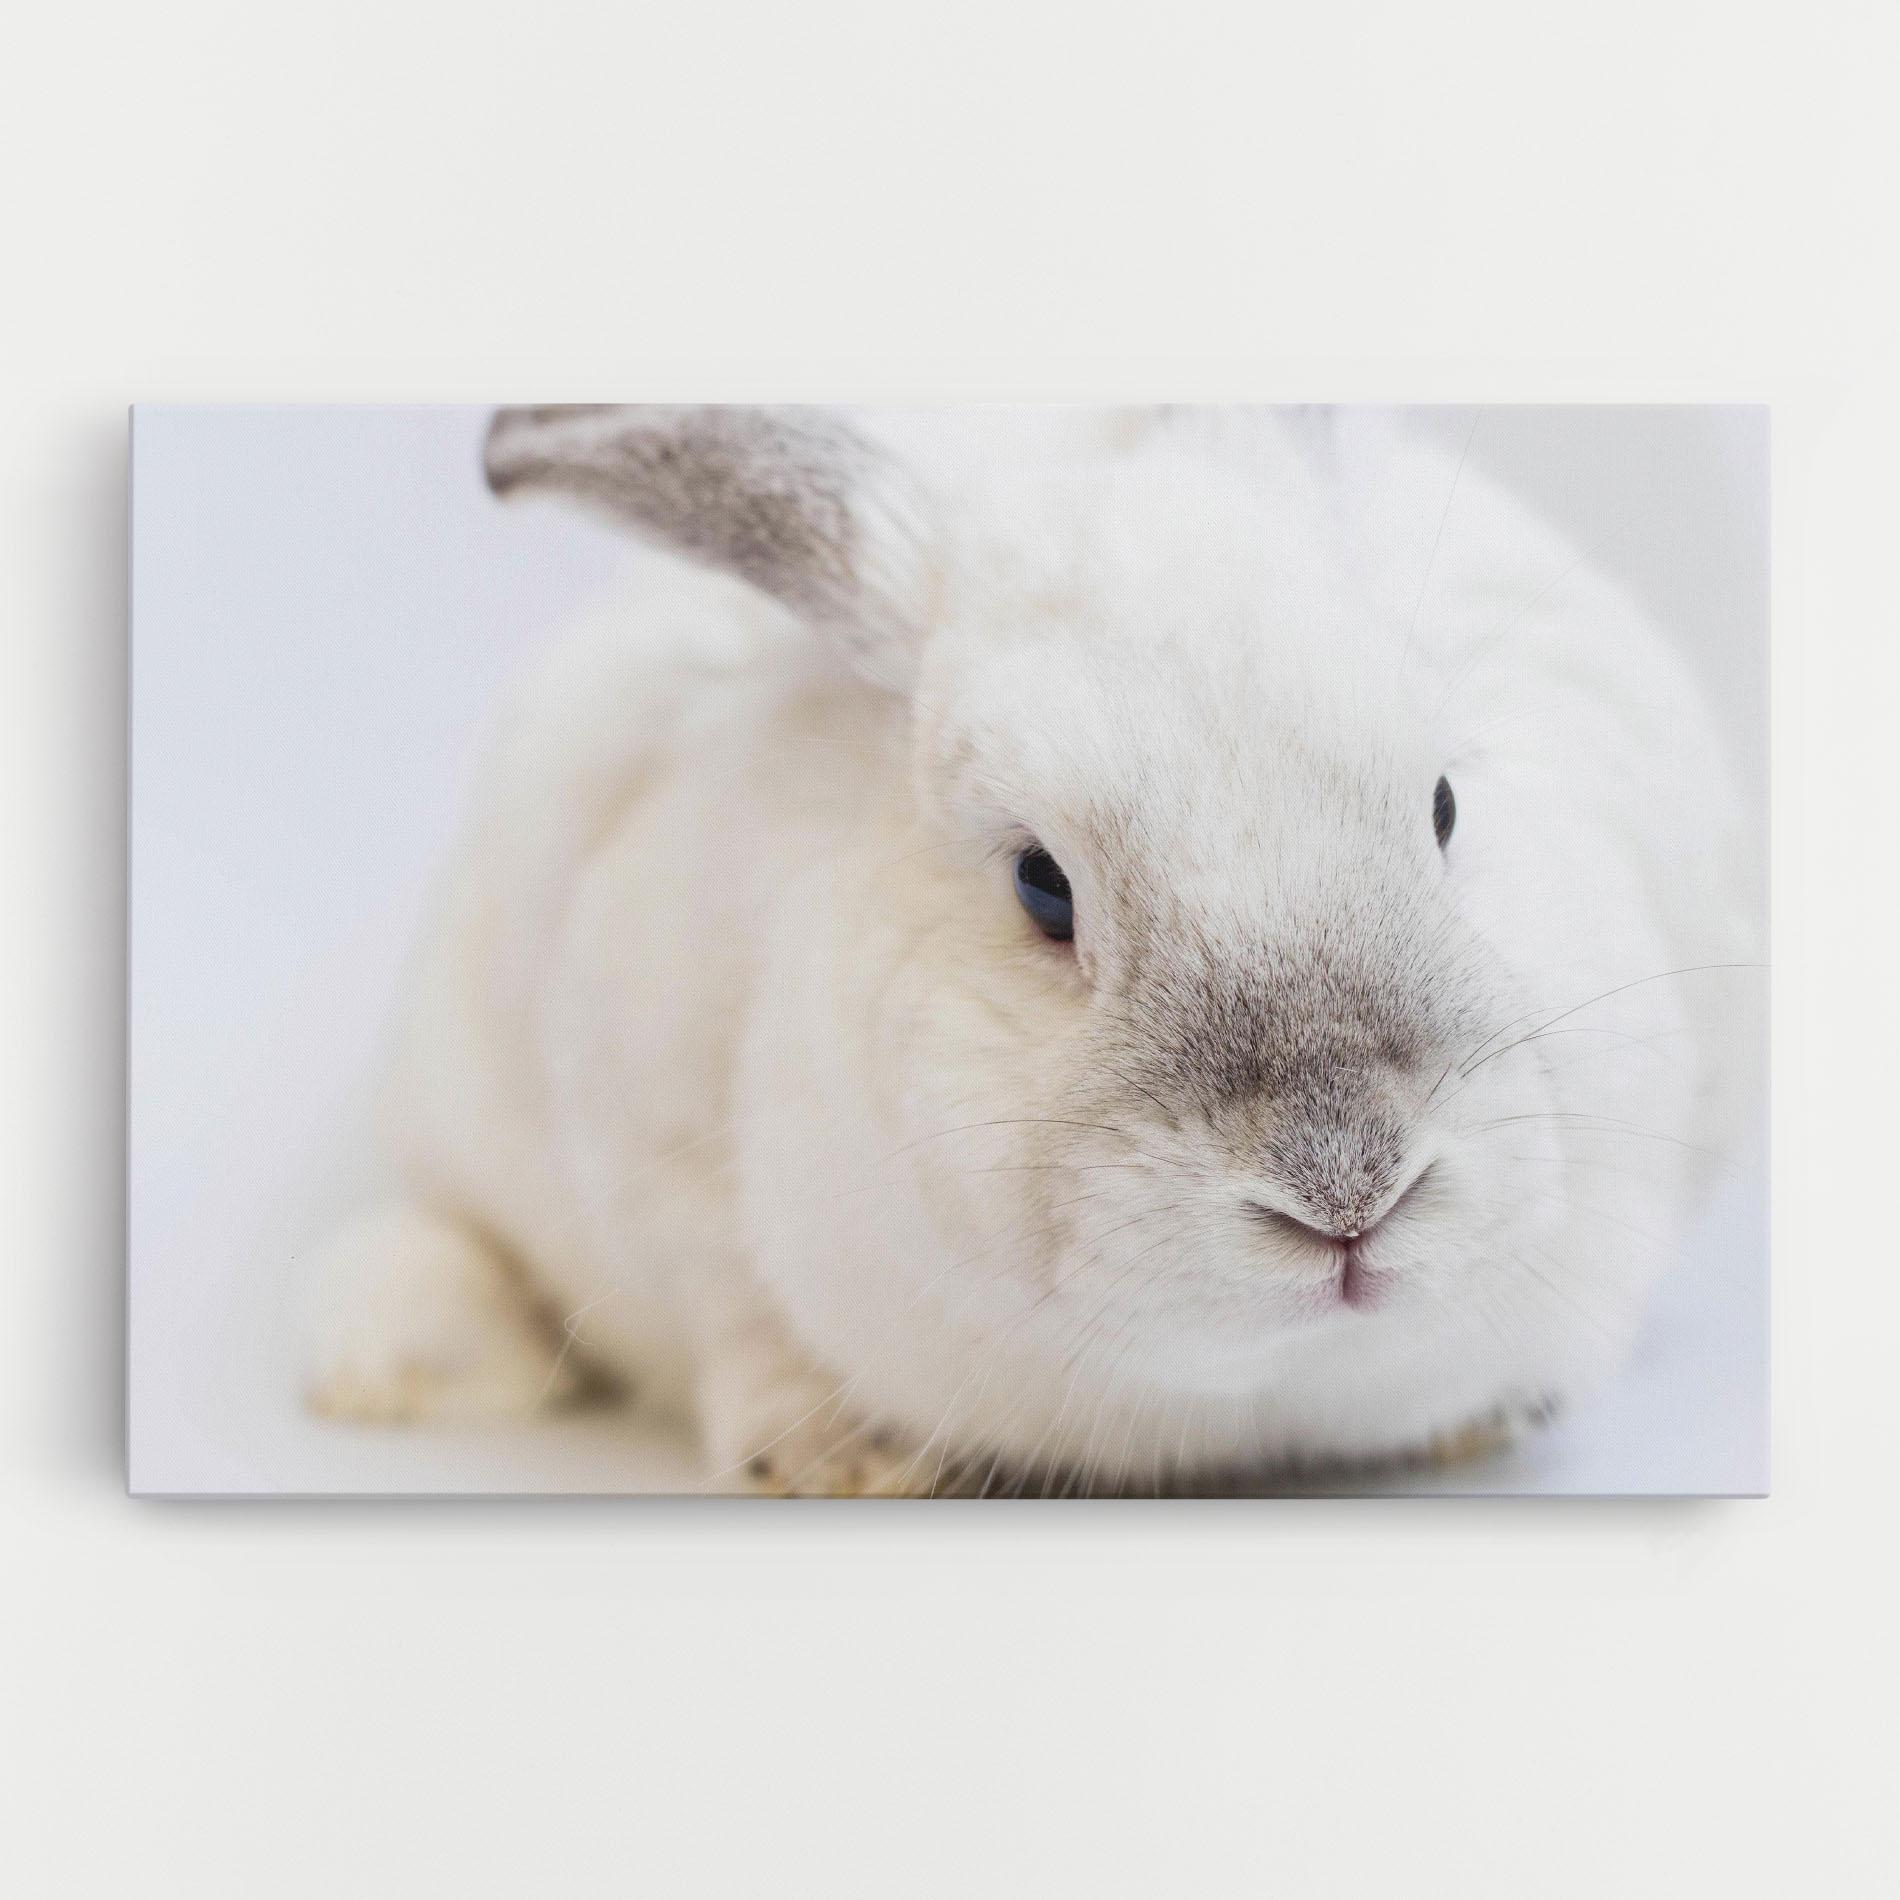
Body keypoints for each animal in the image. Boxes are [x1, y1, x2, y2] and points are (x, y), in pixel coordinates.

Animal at [303, 404, 1760, 1494]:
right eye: (1041, 886)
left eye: (1447, 804)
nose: (1348, 1190)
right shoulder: (652, 1145)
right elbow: (737, 1319)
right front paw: (841, 1458)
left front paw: (1487, 1417)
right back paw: (383, 1366)